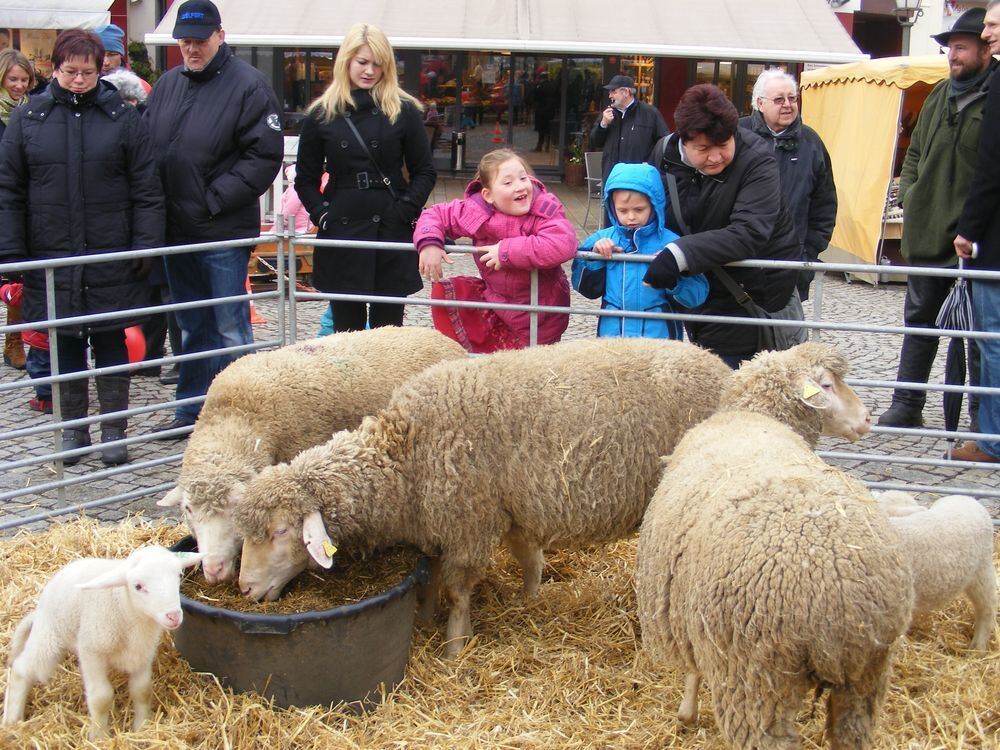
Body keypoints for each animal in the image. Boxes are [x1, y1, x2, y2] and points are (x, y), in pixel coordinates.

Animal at [1, 548, 205, 740]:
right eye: (138, 586)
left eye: (178, 576)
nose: (173, 616)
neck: (127, 611)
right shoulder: (91, 652)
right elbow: (101, 697)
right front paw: (99, 736)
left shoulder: (143, 653)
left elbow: (142, 690)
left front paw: (142, 726)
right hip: (50, 637)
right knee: (21, 669)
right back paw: (13, 719)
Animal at [232, 338, 736, 656]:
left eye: (280, 531)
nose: (244, 589)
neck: (406, 453)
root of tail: (720, 365)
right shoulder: (470, 515)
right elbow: (447, 573)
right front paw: (436, 617)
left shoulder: (469, 521)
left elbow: (458, 589)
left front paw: (455, 646)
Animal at [632, 344, 916, 748]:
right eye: (826, 384)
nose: (866, 419)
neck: (753, 417)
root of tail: (841, 601)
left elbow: (692, 668)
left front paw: (686, 712)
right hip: (866, 679)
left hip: (756, 679)